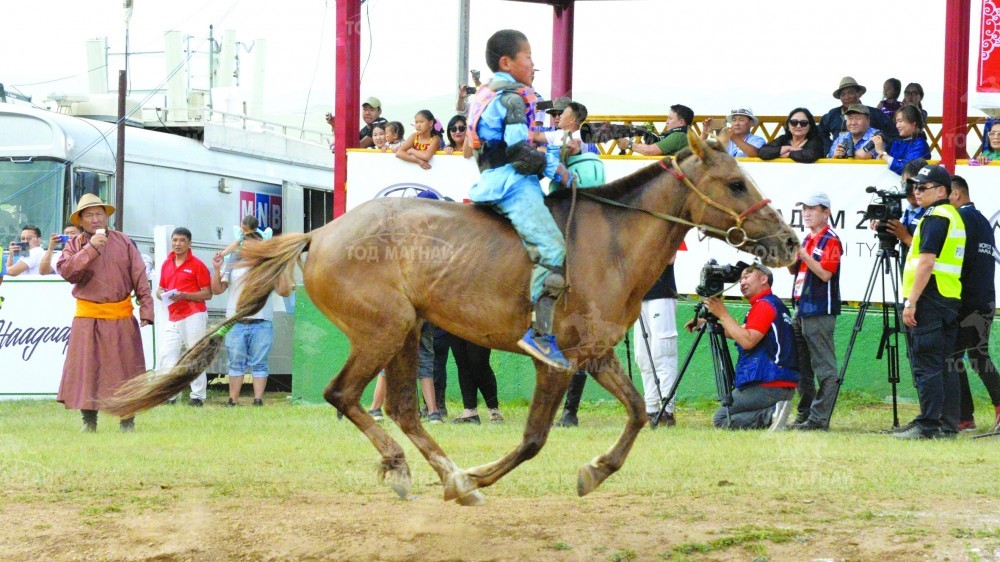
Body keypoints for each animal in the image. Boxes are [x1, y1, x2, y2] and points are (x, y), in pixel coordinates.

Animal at [107, 130, 796, 504]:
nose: (789, 243)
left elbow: (636, 414)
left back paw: (448, 474)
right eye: (736, 183)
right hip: (383, 329)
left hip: (409, 333)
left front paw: (595, 470)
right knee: (345, 395)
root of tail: (320, 234)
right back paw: (422, 471)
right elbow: (534, 439)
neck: (611, 241)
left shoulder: (595, 355)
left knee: (403, 408)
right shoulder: (557, 362)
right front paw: (495, 473)